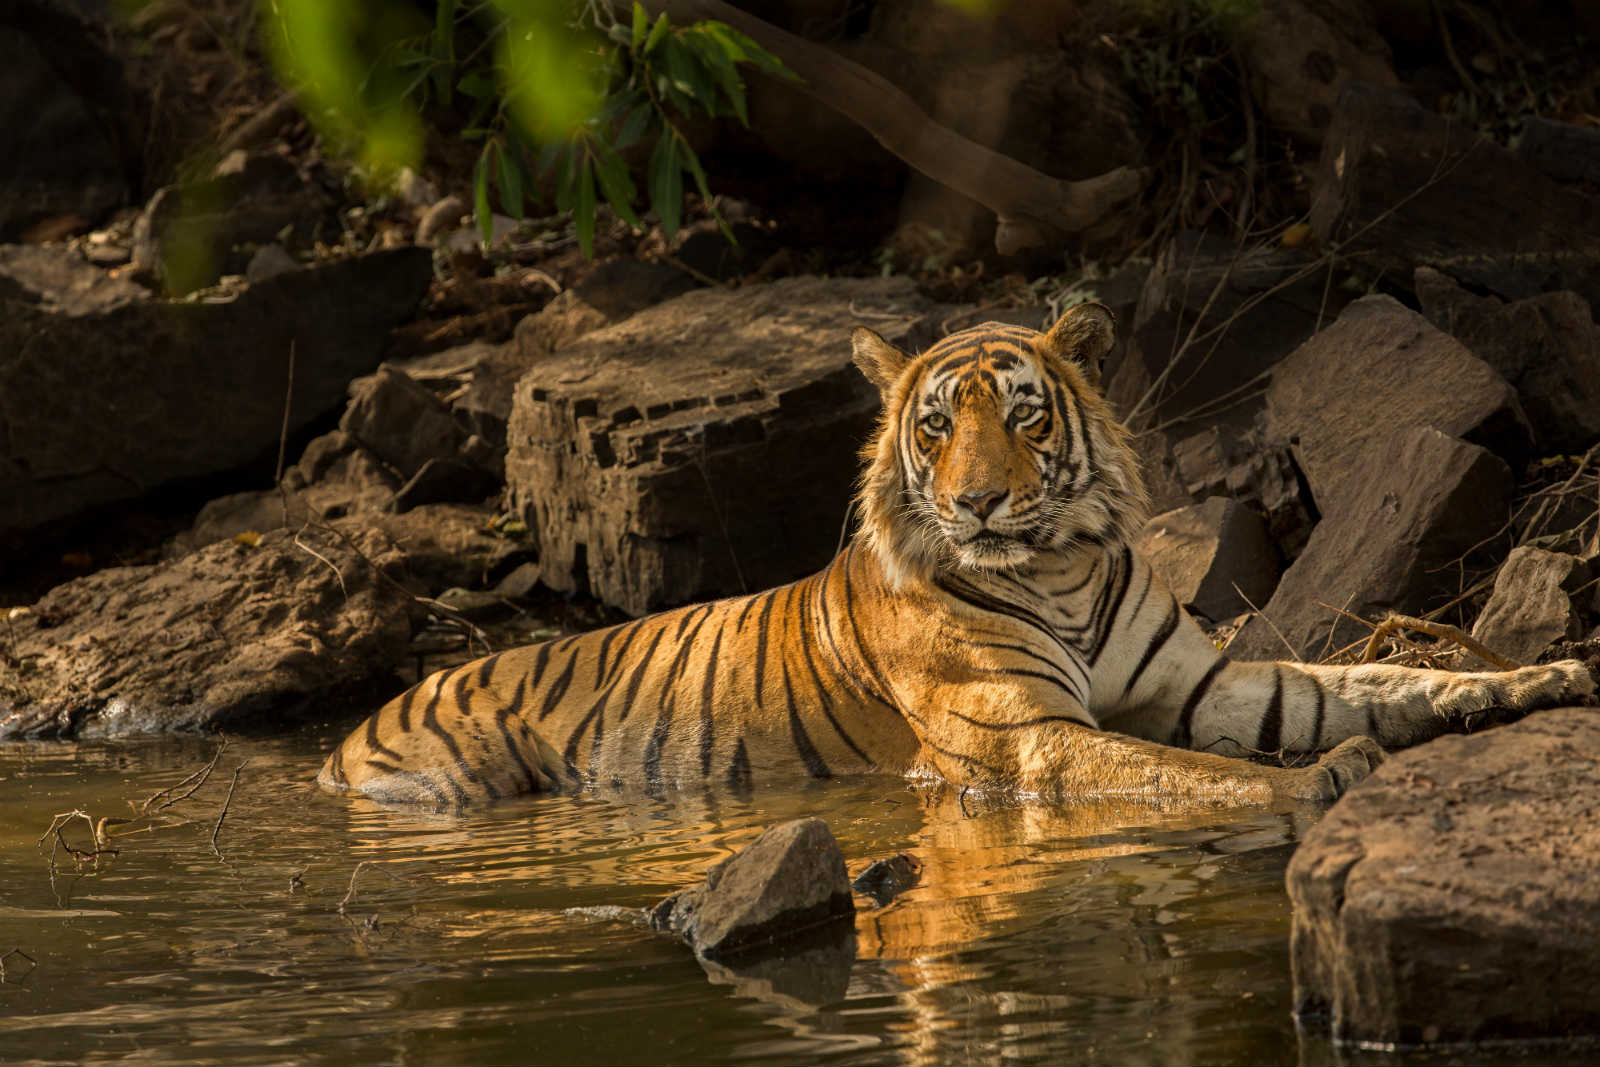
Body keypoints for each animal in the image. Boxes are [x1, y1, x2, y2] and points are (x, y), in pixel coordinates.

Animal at [318, 300, 1593, 809]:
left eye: (1021, 413)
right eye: (934, 425)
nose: (978, 500)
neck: (1062, 566)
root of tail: (351, 728)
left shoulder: (1209, 683)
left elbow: (1371, 679)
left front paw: (1538, 679)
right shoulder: (1022, 737)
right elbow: (1185, 770)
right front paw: (1315, 782)